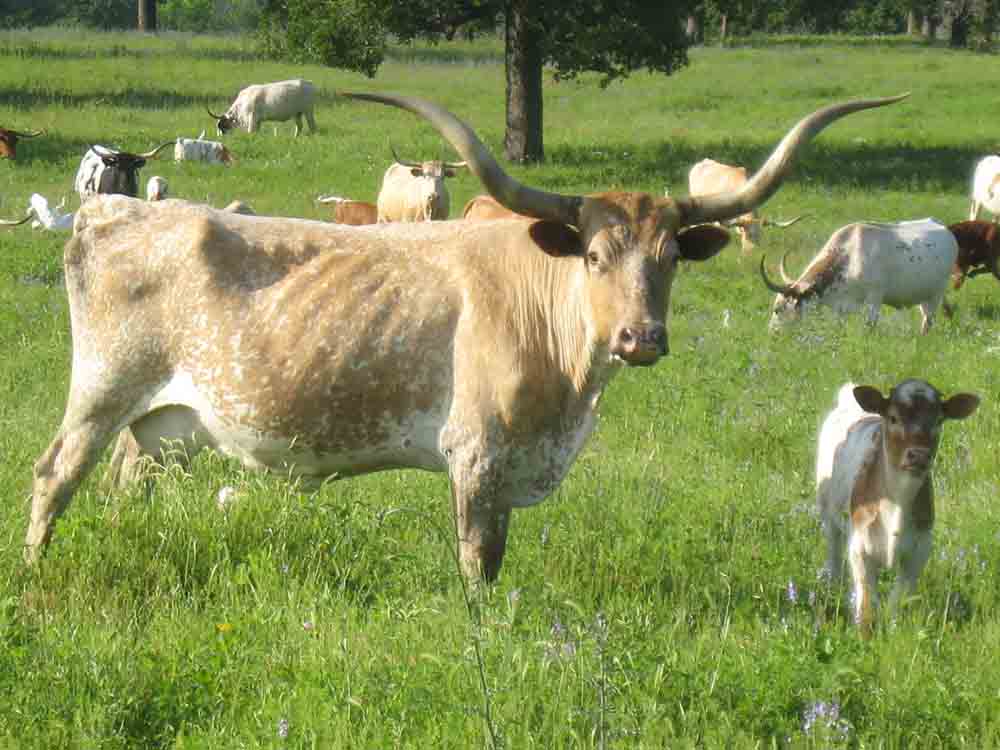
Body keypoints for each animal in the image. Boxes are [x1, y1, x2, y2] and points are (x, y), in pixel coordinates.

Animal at [23, 91, 906, 582]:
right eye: (593, 255)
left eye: (669, 261)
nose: (641, 338)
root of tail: (111, 209)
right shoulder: (476, 454)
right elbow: (478, 562)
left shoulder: (513, 463)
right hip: (102, 389)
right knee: (55, 472)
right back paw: (33, 572)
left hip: (163, 420)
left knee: (124, 478)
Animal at [760, 219, 956, 335]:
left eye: (777, 309)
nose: (772, 333)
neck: (849, 256)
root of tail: (947, 231)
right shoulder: (841, 307)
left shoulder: (874, 299)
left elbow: (869, 326)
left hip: (936, 294)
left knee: (928, 320)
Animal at [816, 380, 979, 637]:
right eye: (893, 418)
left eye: (938, 421)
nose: (919, 455)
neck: (897, 503)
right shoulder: (858, 547)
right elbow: (866, 601)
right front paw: (864, 635)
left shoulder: (920, 550)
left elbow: (898, 599)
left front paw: (894, 632)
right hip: (826, 510)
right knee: (833, 552)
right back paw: (832, 588)